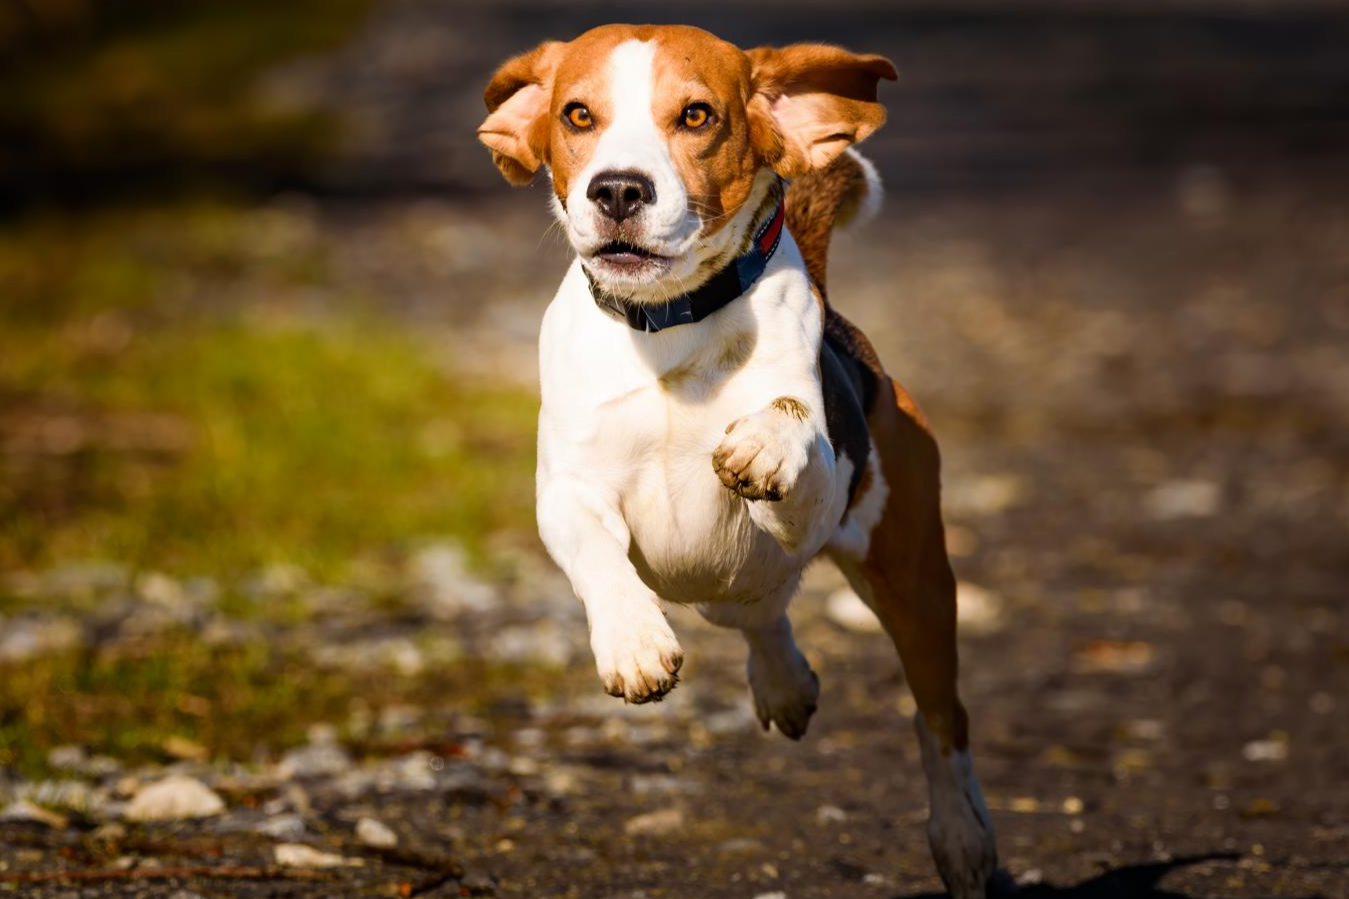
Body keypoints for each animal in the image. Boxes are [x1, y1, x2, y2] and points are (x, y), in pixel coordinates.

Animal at [480, 24, 998, 890]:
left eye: (696, 115)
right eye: (576, 114)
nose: (616, 191)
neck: (668, 324)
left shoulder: (810, 503)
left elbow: (787, 424)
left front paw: (762, 437)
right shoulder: (567, 491)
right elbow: (597, 558)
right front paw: (633, 641)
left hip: (913, 581)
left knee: (941, 723)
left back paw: (963, 835)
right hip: (718, 585)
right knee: (759, 613)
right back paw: (784, 683)